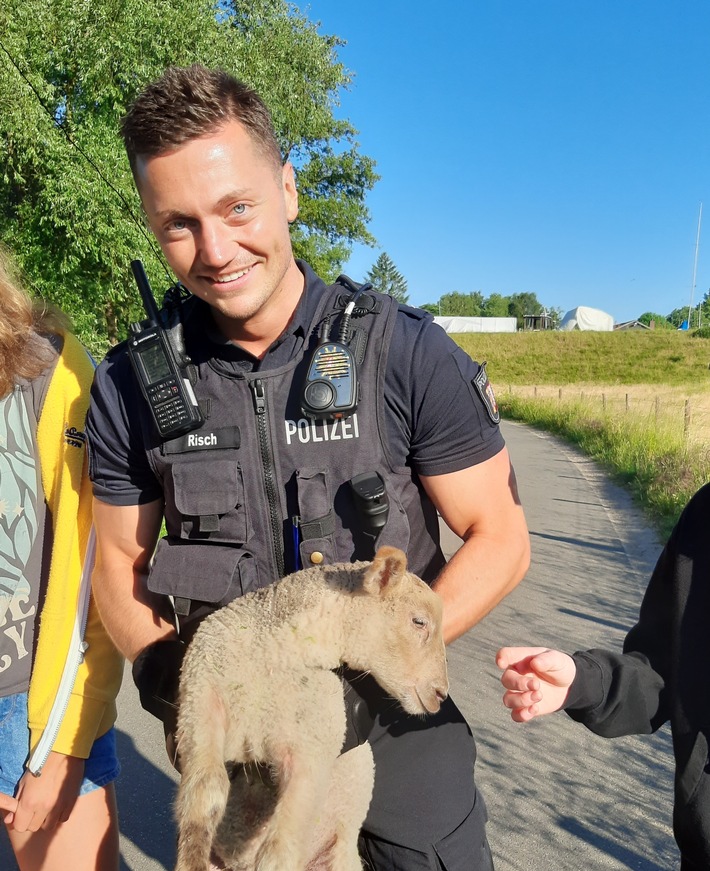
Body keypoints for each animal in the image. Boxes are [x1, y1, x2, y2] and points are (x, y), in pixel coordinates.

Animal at [175, 548, 448, 868]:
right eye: (419, 622)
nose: (441, 693)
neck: (278, 654)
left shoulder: (314, 746)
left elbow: (279, 850)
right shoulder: (200, 703)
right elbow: (206, 792)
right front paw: (191, 861)